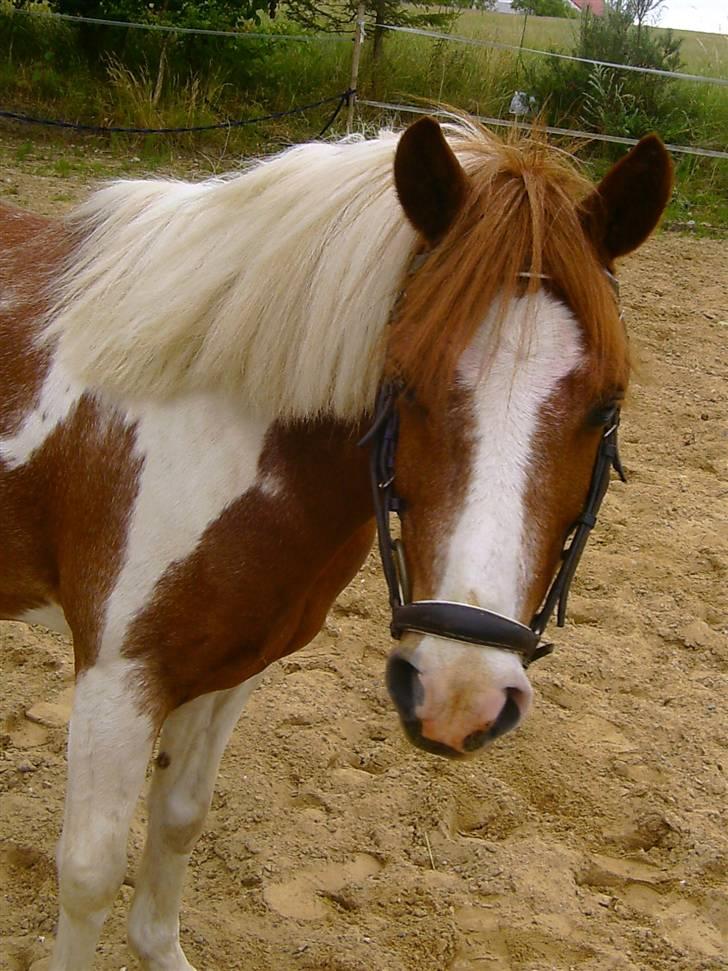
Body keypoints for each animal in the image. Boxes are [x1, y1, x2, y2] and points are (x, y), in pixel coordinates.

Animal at [0, 121, 672, 971]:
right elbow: (88, 869)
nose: (459, 693)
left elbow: (181, 816)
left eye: (606, 406)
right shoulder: (118, 675)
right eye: (404, 382)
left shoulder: (232, 665)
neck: (215, 412)